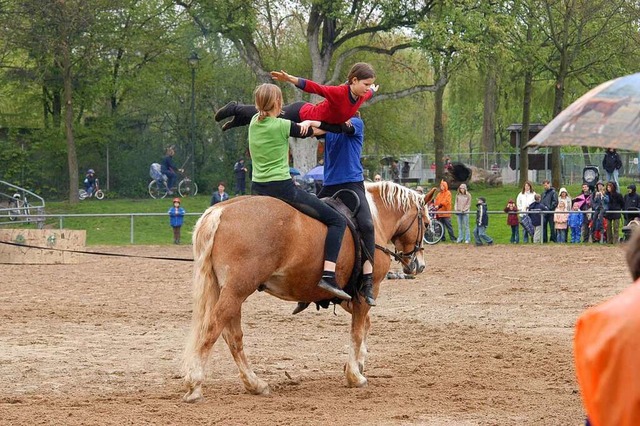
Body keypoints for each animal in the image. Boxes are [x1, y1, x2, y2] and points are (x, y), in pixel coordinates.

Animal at [180, 181, 430, 402]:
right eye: (427, 223)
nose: (419, 265)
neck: (375, 221)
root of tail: (220, 211)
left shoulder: (347, 296)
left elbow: (364, 325)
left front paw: (358, 363)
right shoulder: (367, 291)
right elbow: (357, 331)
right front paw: (355, 376)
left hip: (228, 291)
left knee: (233, 337)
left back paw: (255, 384)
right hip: (236, 291)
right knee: (213, 330)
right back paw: (195, 385)